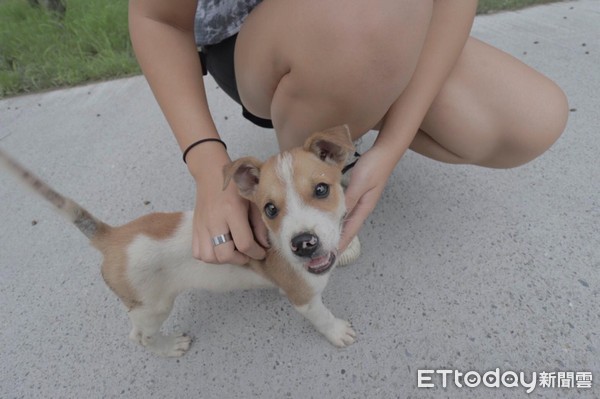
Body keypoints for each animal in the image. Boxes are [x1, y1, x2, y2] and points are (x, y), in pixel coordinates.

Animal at [0, 125, 360, 356]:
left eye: (322, 190)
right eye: (270, 209)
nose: (303, 243)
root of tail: (112, 236)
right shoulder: (304, 298)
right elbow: (321, 316)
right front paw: (337, 332)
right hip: (152, 307)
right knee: (139, 337)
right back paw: (169, 347)